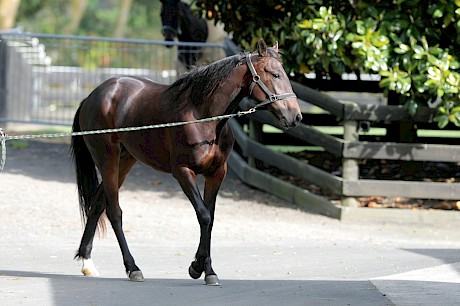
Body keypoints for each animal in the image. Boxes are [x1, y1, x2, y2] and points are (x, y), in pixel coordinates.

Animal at [71, 39, 302, 286]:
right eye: (275, 74)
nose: (295, 117)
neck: (202, 116)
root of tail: (93, 96)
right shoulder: (183, 171)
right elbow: (203, 215)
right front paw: (198, 267)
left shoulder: (217, 173)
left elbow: (210, 218)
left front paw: (205, 270)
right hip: (108, 160)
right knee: (114, 212)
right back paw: (133, 268)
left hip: (125, 161)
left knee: (97, 204)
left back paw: (87, 262)